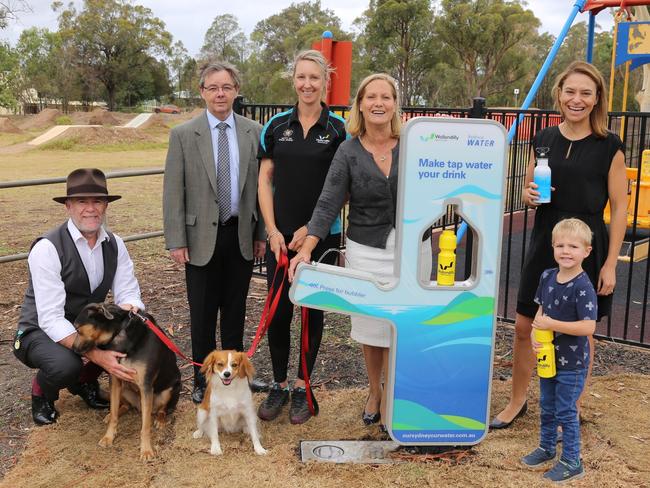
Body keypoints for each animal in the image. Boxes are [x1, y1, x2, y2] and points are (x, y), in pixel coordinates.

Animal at [72, 304, 181, 460]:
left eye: (77, 329)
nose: (73, 349)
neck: (120, 333)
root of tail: (139, 407)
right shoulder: (115, 379)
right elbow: (114, 413)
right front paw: (108, 437)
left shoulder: (145, 386)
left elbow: (145, 426)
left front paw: (146, 450)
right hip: (124, 388)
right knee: (125, 406)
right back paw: (112, 414)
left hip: (170, 389)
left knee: (163, 410)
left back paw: (160, 420)